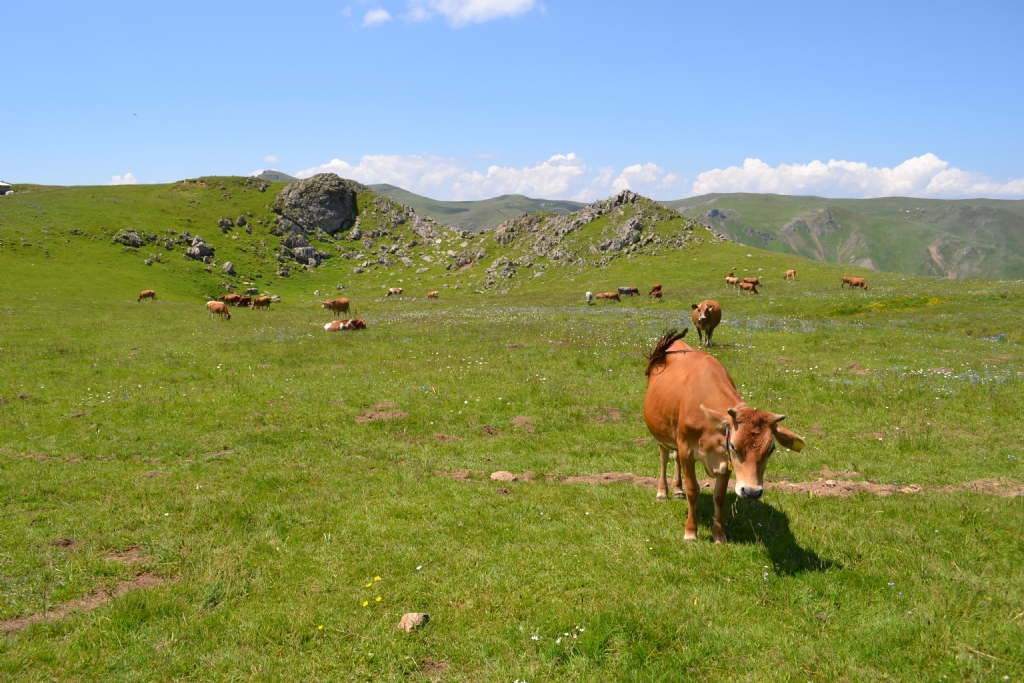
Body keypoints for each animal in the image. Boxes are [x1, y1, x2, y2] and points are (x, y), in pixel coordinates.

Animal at [643, 331, 802, 544]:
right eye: (734, 446)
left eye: (771, 449)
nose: (751, 492)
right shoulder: (688, 449)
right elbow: (693, 490)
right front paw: (690, 532)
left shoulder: (724, 457)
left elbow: (719, 496)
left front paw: (719, 534)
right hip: (663, 433)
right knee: (664, 456)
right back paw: (663, 492)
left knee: (675, 458)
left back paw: (677, 490)